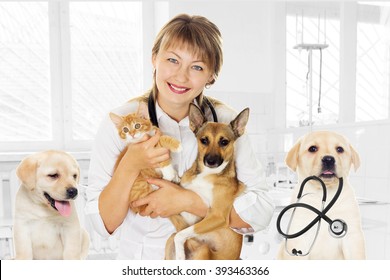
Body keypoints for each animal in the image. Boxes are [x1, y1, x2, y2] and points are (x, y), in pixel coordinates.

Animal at [164, 104, 248, 260]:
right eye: (204, 140)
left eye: (224, 142)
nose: (210, 161)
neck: (207, 174)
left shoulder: (217, 216)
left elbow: (181, 234)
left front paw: (180, 255)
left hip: (204, 249)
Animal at [278, 130, 366, 260]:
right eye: (312, 148)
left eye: (339, 149)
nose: (328, 159)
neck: (326, 191)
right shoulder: (299, 237)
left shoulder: (353, 236)